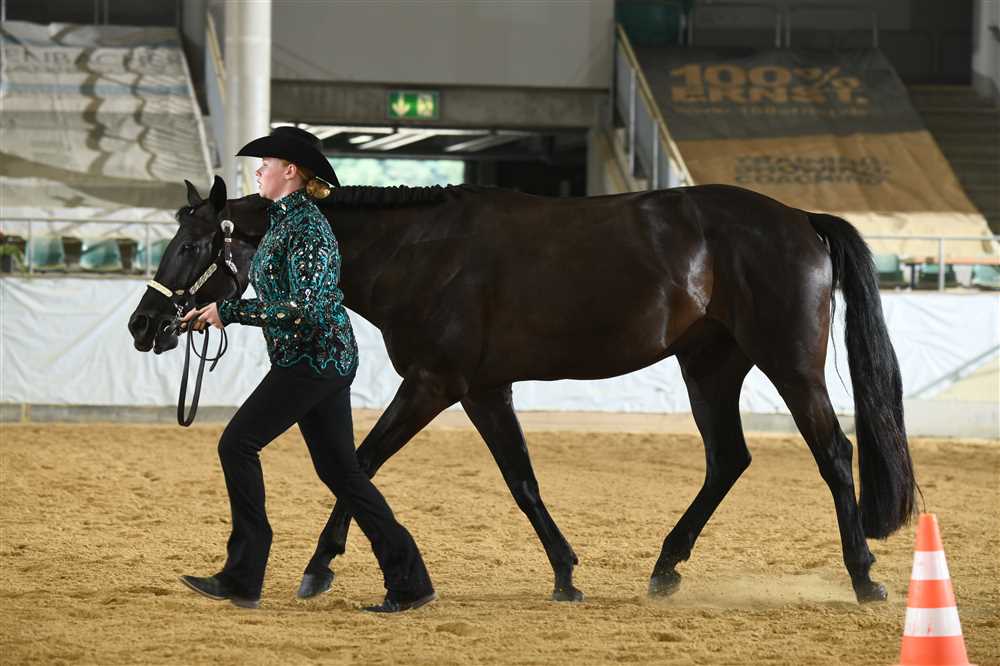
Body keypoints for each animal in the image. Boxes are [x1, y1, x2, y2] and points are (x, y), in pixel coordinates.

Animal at [127, 175, 916, 605]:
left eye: (192, 246)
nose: (144, 325)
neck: (421, 252)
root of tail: (799, 219)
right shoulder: (485, 390)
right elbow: (522, 481)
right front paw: (566, 575)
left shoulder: (433, 384)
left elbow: (364, 465)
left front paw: (320, 567)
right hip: (709, 366)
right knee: (728, 460)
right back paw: (665, 569)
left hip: (790, 366)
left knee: (832, 453)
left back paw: (864, 578)